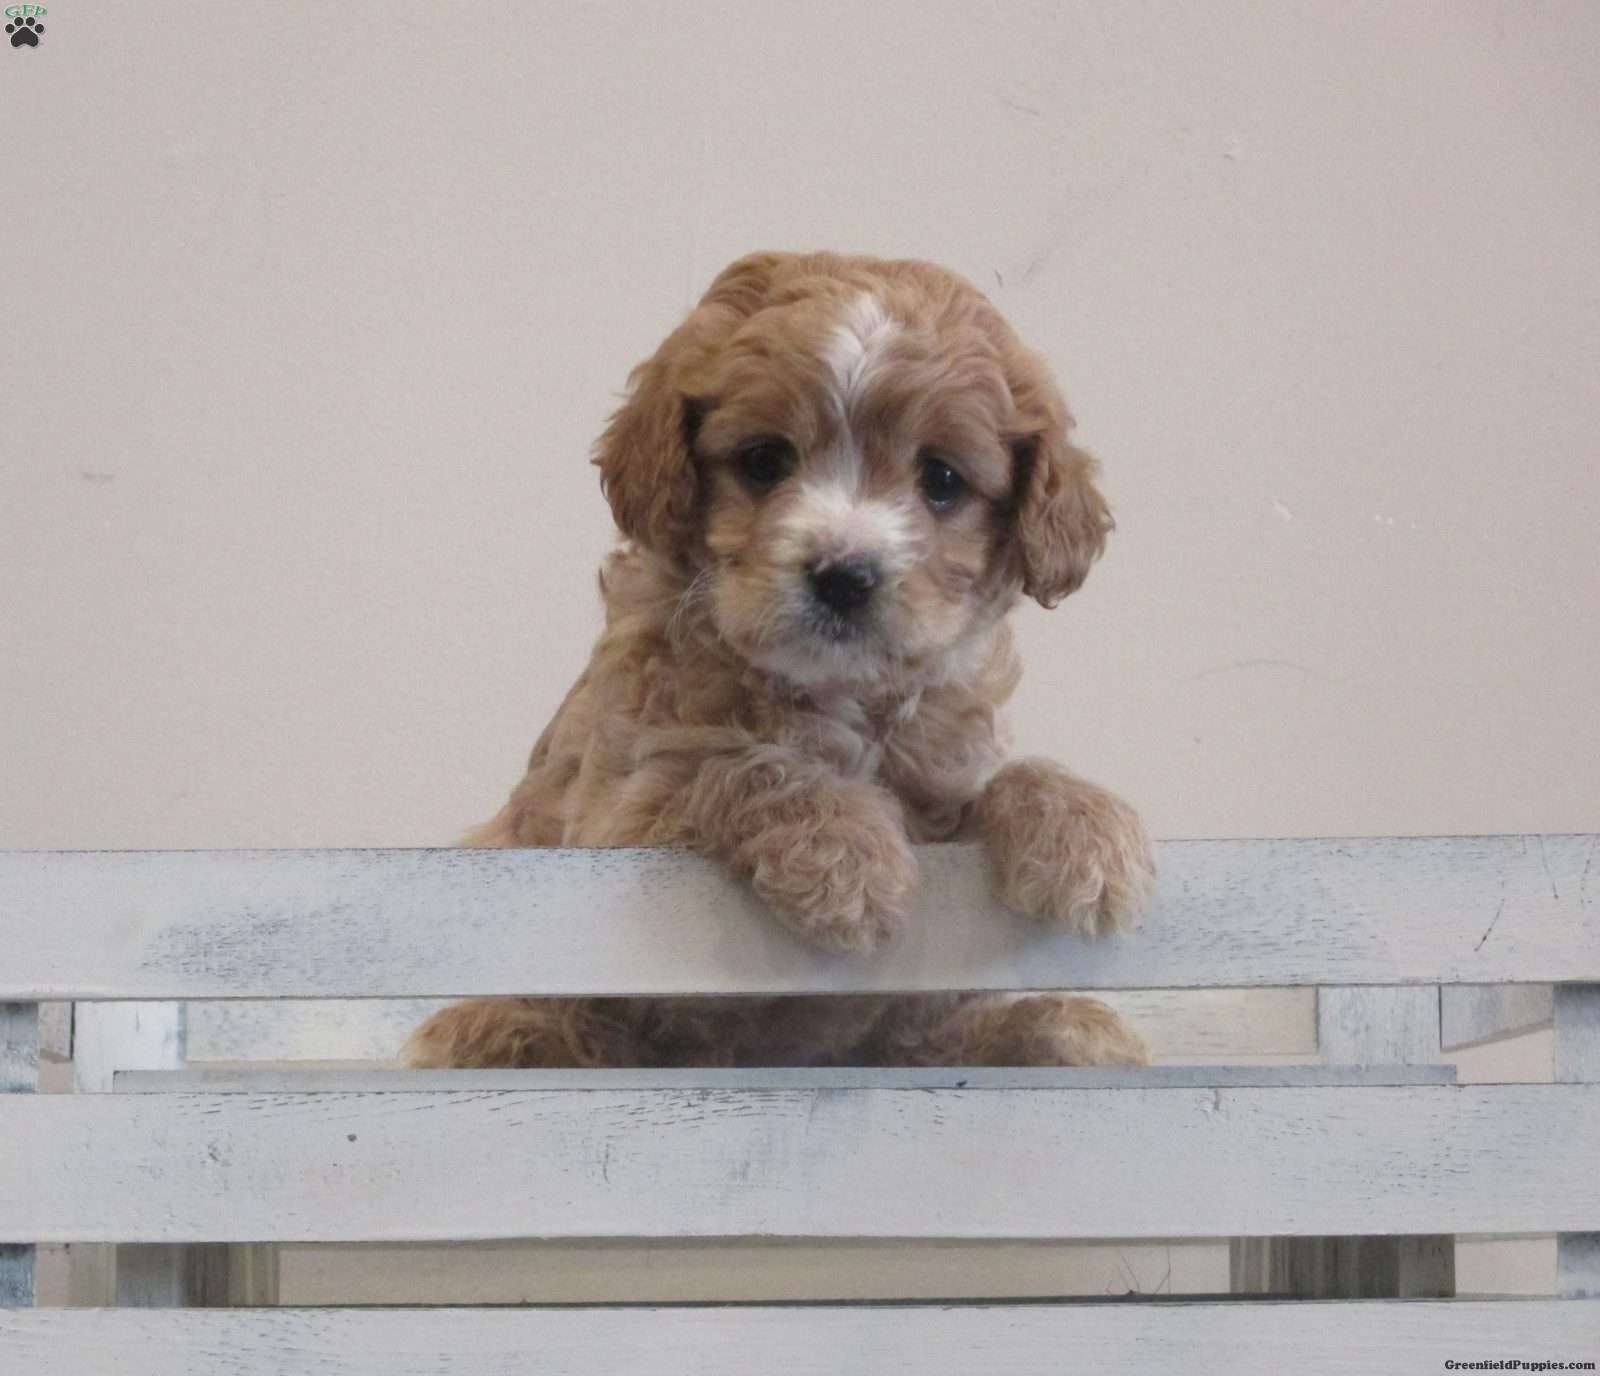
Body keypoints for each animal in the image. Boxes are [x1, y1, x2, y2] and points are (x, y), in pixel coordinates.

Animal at [403, 251, 1154, 1071]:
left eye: (942, 479)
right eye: (764, 461)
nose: (844, 573)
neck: (837, 695)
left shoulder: (944, 778)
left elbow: (997, 782)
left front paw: (1086, 831)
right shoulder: (615, 824)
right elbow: (736, 764)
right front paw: (842, 854)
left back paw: (1055, 1028)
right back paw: (517, 1035)